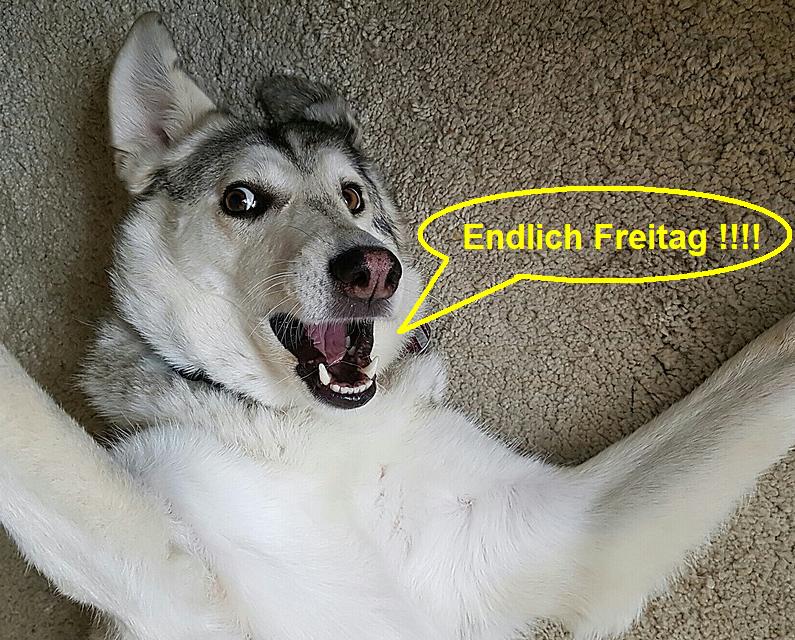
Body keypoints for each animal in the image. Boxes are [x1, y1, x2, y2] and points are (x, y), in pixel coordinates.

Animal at [0, 12, 793, 640]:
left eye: (353, 196)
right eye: (242, 199)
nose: (372, 269)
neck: (318, 438)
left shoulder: (571, 525)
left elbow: (755, 378)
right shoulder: (184, 583)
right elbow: (44, 442)